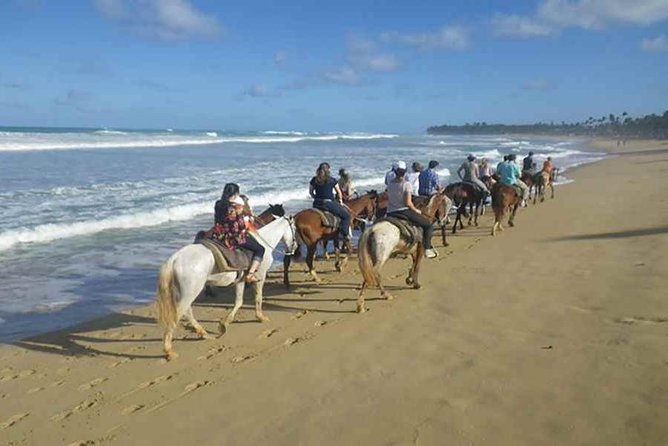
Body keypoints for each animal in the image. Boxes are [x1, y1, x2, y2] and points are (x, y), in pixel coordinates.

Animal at [156, 216, 294, 358]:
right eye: (294, 228)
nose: (293, 248)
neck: (265, 242)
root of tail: (175, 259)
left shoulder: (241, 281)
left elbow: (239, 302)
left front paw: (225, 323)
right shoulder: (261, 275)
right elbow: (258, 297)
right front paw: (260, 317)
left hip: (185, 292)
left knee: (187, 312)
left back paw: (203, 334)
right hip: (190, 292)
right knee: (179, 314)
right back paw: (169, 351)